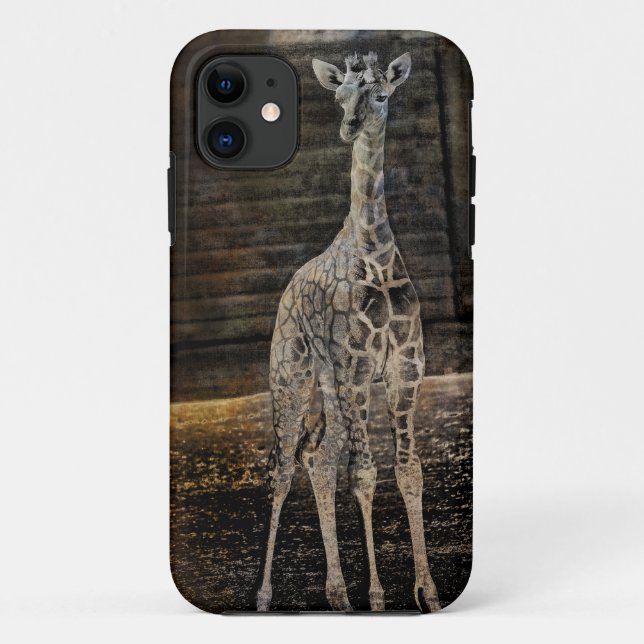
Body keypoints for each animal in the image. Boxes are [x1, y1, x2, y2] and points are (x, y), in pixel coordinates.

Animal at [256, 51, 440, 613]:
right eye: (339, 96)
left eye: (380, 94)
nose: (348, 127)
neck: (376, 253)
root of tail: (288, 291)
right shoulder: (358, 371)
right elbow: (363, 474)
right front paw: (378, 594)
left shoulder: (404, 370)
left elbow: (408, 471)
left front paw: (428, 591)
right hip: (292, 374)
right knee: (281, 467)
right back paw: (264, 594)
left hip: (331, 383)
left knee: (318, 458)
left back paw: (336, 592)